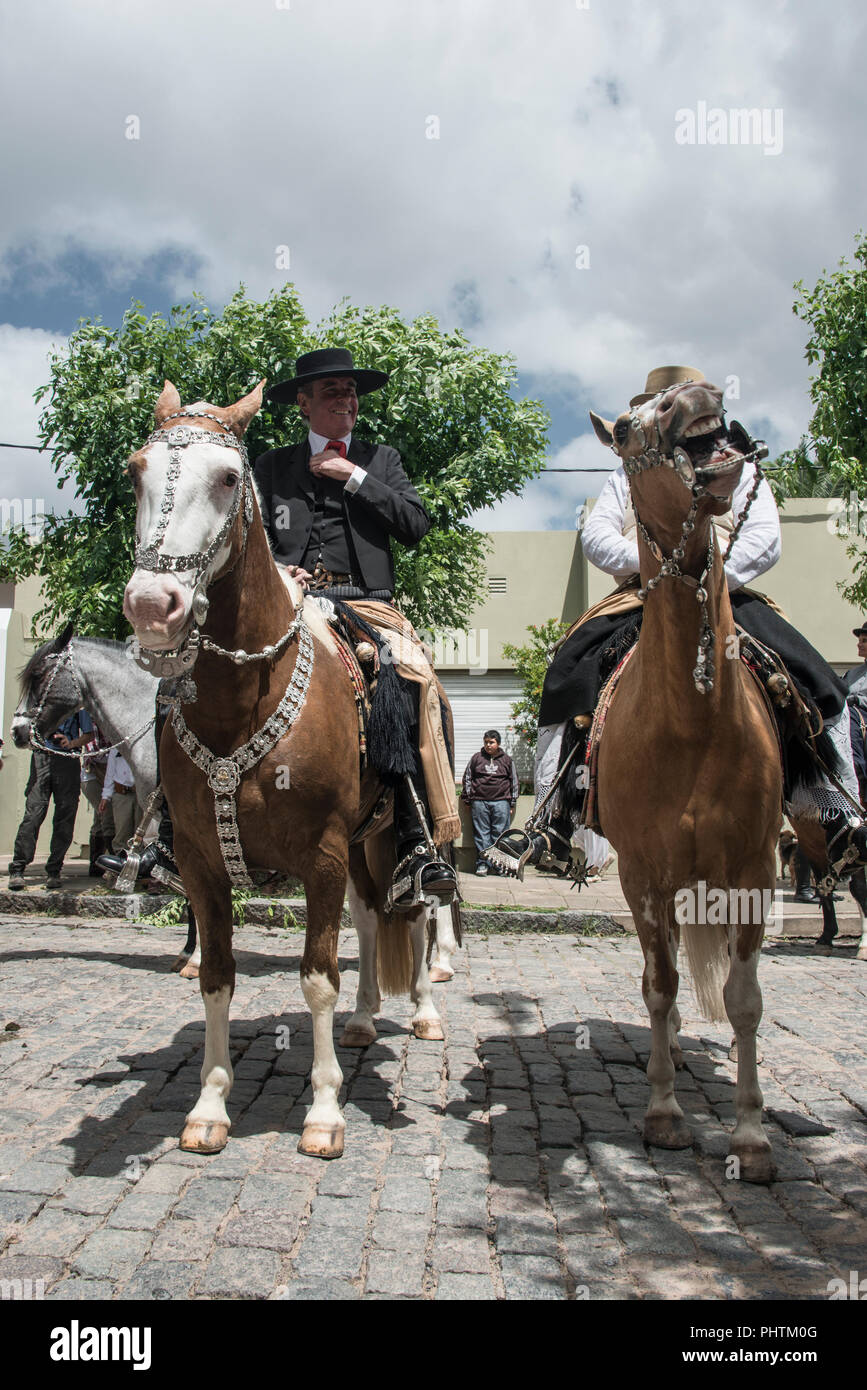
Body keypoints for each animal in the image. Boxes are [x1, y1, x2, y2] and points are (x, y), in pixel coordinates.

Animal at [120, 380, 447, 1162]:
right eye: (135, 472)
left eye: (226, 477)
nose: (153, 608)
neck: (242, 702)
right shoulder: (203, 864)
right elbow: (215, 977)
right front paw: (209, 1107)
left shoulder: (321, 855)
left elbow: (317, 978)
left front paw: (323, 1113)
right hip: (364, 843)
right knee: (373, 916)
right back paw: (364, 1020)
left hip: (404, 837)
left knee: (419, 912)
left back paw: (423, 1011)